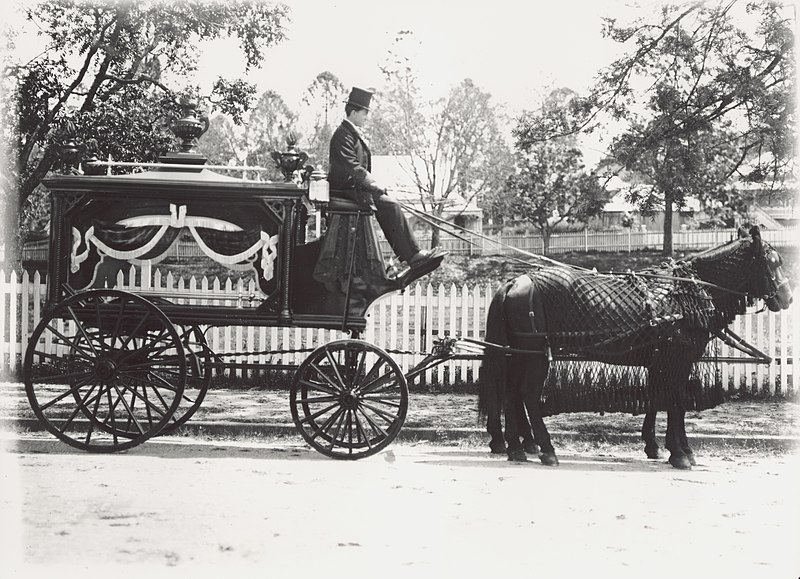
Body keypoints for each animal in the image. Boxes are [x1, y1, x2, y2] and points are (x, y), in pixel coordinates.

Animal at [478, 227, 792, 472]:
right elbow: (675, 402)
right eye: (772, 262)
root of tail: (514, 282)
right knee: (528, 395)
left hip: (520, 354)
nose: (788, 298)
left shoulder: (662, 361)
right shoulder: (676, 359)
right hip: (536, 355)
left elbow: (659, 399)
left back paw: (517, 447)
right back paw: (546, 449)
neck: (687, 293)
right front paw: (680, 453)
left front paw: (663, 447)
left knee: (512, 394)